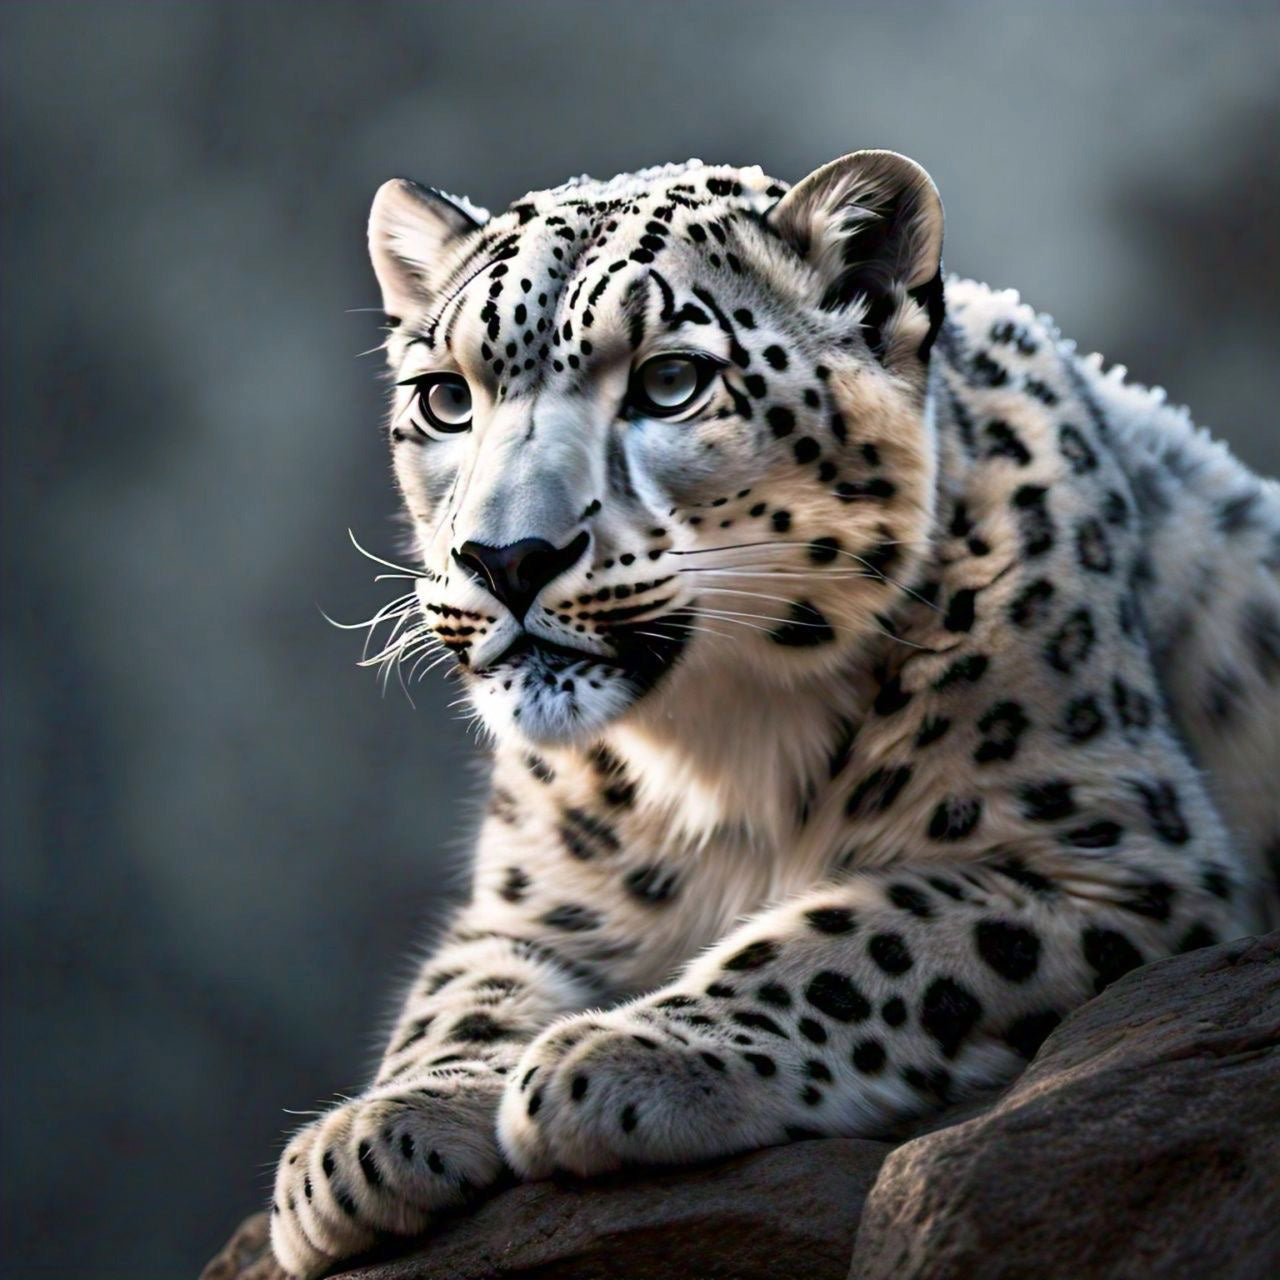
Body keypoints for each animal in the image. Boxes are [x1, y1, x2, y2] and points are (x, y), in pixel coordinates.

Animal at [269, 150, 1280, 1277]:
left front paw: (630, 1053)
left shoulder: (1121, 857)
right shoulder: (539, 901)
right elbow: (459, 990)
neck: (718, 748)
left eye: (670, 381)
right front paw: (372, 1133)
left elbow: (865, 933)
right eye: (446, 397)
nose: (506, 558)